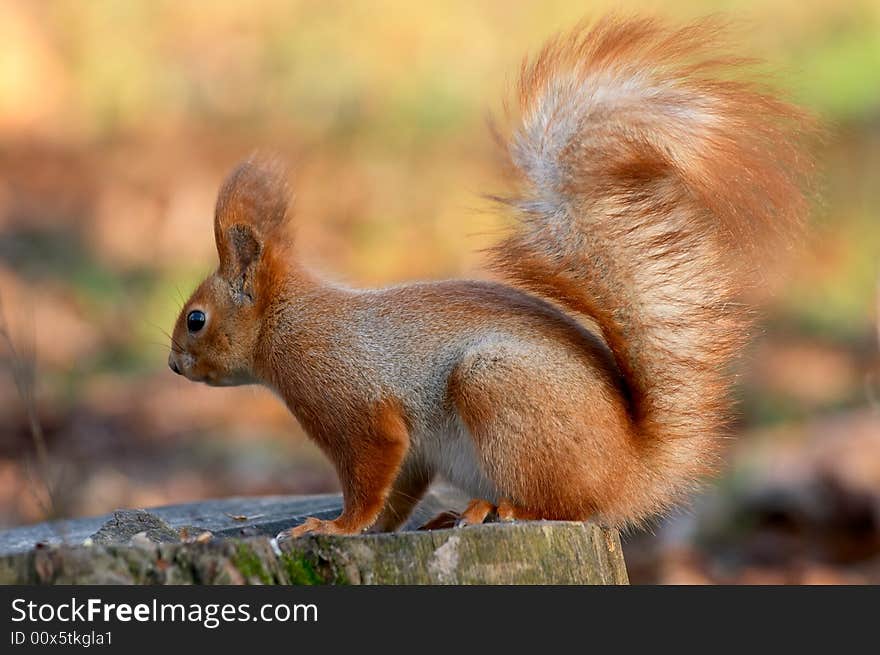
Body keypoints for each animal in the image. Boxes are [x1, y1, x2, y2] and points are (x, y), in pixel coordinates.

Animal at [167, 16, 820, 540]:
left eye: (196, 319)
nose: (174, 366)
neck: (287, 321)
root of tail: (630, 474)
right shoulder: (409, 451)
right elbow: (398, 493)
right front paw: (370, 528)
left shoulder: (356, 408)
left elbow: (370, 476)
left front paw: (332, 527)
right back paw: (453, 515)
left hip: (497, 390)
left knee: (560, 505)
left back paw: (495, 510)